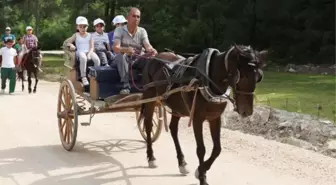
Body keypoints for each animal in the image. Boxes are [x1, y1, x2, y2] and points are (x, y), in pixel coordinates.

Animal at [137, 44, 268, 185]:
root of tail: (154, 57)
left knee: (173, 129)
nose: (247, 111)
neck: (208, 78)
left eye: (259, 77)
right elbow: (201, 149)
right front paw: (202, 178)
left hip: (177, 108)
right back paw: (151, 157)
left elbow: (217, 149)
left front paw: (201, 170)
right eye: (242, 76)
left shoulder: (215, 118)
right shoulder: (197, 119)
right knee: (148, 125)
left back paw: (182, 163)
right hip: (150, 98)